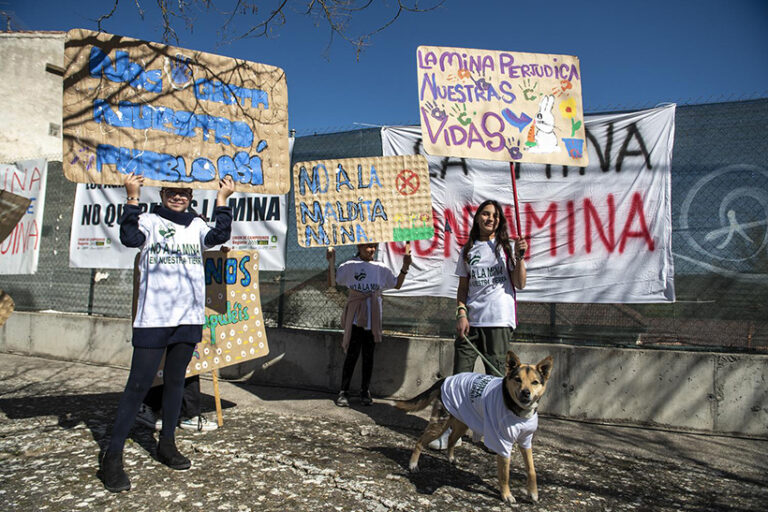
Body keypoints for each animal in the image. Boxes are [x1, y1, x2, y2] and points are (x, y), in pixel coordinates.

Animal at [396, 348, 552, 504]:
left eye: (535, 382)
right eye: (518, 379)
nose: (526, 393)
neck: (517, 411)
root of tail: (445, 379)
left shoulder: (526, 441)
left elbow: (532, 470)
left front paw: (533, 493)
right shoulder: (503, 443)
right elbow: (505, 474)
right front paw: (506, 495)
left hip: (463, 422)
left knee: (451, 439)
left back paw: (450, 458)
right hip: (440, 425)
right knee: (420, 442)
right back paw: (413, 465)